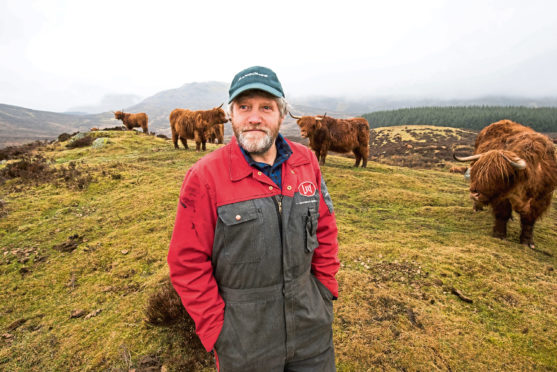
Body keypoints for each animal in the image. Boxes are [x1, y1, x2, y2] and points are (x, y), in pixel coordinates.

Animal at [452, 119, 556, 247]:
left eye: (499, 176)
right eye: (477, 172)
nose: (474, 194)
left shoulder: (541, 198)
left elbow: (529, 220)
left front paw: (527, 242)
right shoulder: (502, 198)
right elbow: (503, 214)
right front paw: (499, 235)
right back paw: (477, 208)